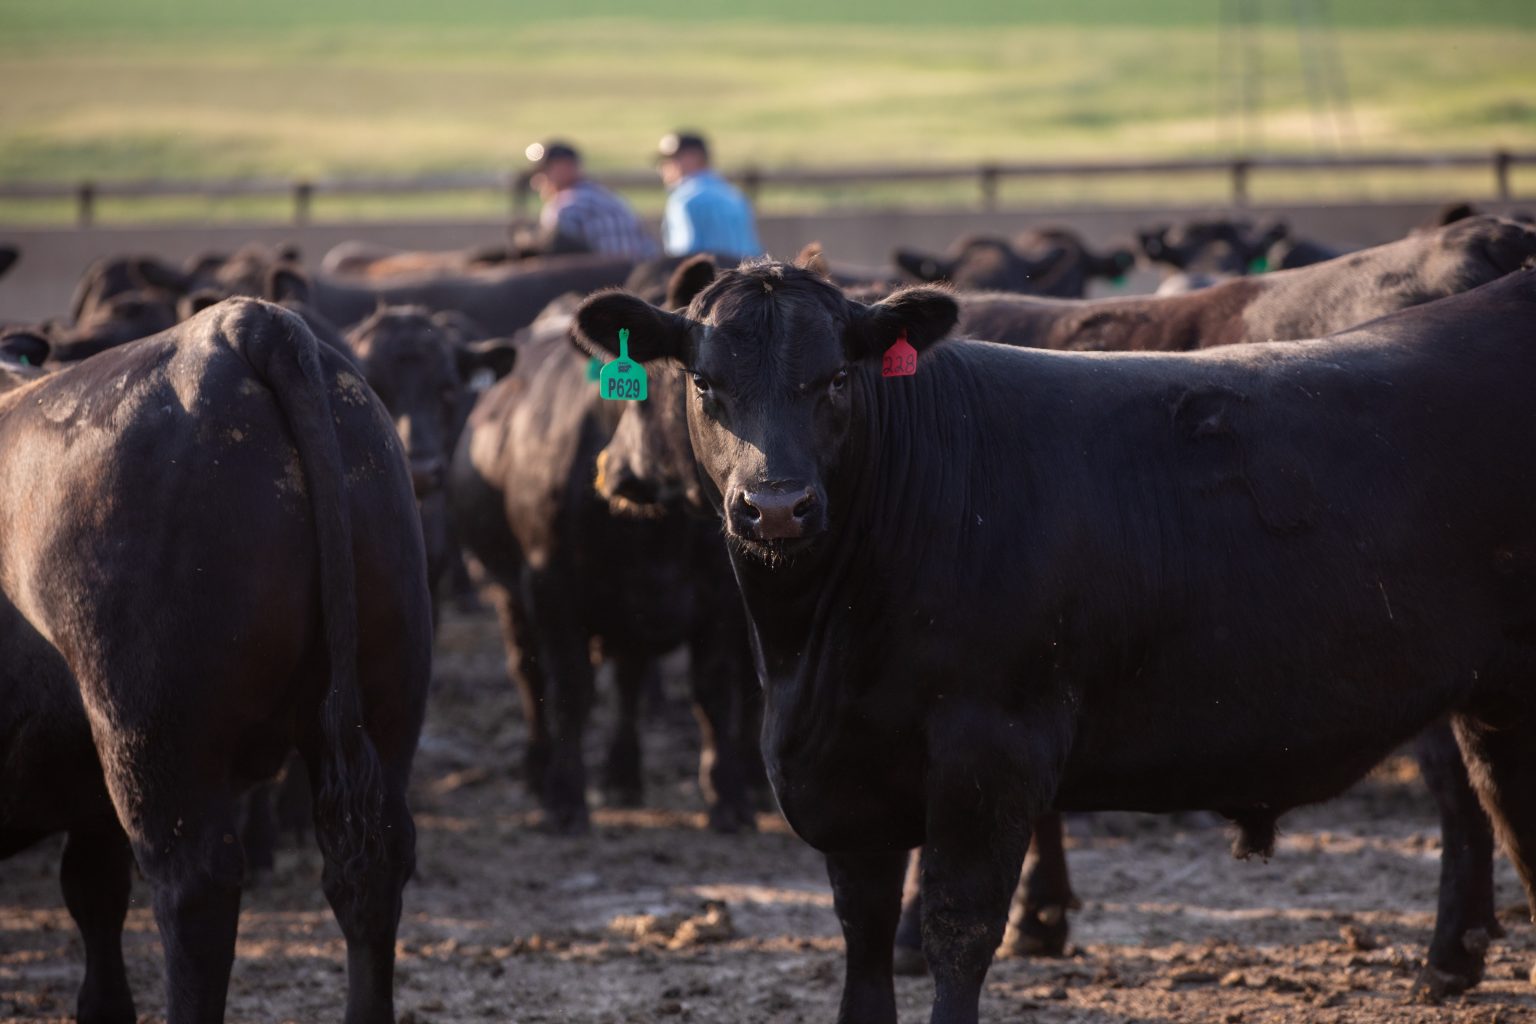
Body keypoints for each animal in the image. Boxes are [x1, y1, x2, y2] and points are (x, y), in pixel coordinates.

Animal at [0, 297, 432, 1023]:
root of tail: (244, 321)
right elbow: (95, 905)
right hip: (387, 693)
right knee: (372, 870)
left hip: (154, 735)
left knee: (195, 888)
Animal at [449, 304, 760, 834]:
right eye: (698, 382)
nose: (620, 473)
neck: (656, 531)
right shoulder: (550, 587)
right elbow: (570, 690)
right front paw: (564, 797)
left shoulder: (720, 596)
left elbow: (713, 691)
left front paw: (728, 797)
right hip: (508, 594)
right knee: (530, 676)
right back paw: (538, 767)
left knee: (630, 681)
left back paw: (623, 773)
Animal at [573, 260, 1536, 1024]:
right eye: (704, 384)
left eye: (838, 379)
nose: (775, 506)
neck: (811, 649)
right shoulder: (846, 777)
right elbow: (864, 942)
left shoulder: (989, 750)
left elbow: (959, 933)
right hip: (1497, 703)